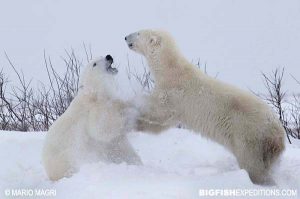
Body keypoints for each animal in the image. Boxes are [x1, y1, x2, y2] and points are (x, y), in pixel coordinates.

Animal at [125, 29, 286, 185]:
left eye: (139, 33)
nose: (126, 37)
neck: (171, 69)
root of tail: (278, 134)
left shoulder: (174, 92)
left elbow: (158, 113)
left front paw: (134, 111)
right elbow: (161, 124)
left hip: (249, 136)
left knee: (253, 165)